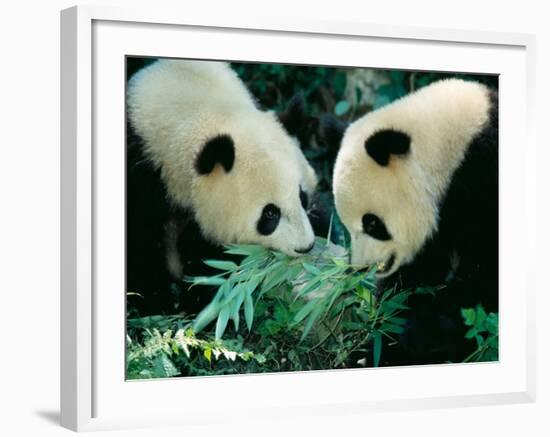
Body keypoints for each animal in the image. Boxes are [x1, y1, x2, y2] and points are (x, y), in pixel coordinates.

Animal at [126, 59, 320, 316]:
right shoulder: (142, 175)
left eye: (302, 196)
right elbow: (141, 246)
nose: (305, 247)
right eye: (269, 213)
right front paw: (162, 300)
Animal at [324, 79, 500, 364]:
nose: (360, 267)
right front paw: (379, 344)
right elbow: (415, 274)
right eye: (345, 225)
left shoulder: (482, 184)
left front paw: (422, 338)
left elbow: (482, 277)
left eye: (372, 223)